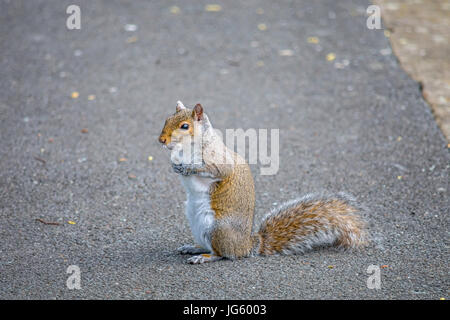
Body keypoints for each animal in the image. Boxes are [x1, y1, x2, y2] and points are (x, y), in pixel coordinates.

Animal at [158, 101, 366, 264]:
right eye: (167, 119)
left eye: (185, 126)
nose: (161, 140)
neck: (187, 148)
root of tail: (247, 245)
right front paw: (175, 165)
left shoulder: (218, 160)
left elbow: (215, 169)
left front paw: (187, 167)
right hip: (196, 221)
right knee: (208, 246)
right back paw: (193, 247)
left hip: (217, 228)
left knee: (223, 253)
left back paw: (205, 257)